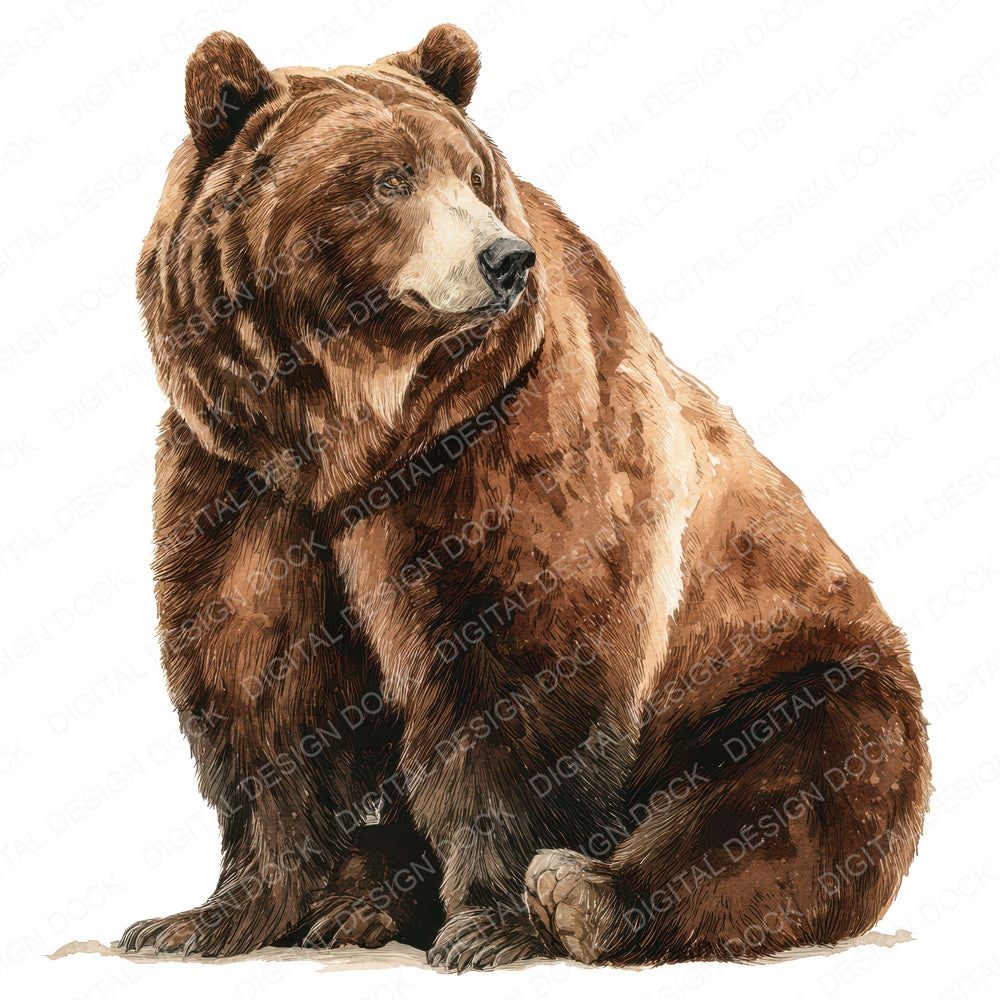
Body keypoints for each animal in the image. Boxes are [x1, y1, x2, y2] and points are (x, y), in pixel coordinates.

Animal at [120, 25, 930, 969]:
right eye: (388, 179)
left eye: (472, 176)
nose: (504, 259)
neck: (354, 430)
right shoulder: (243, 479)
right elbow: (258, 678)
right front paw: (202, 918)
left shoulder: (497, 438)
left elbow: (518, 663)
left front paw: (488, 924)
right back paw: (359, 900)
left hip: (795, 674)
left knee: (790, 797)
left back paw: (584, 895)